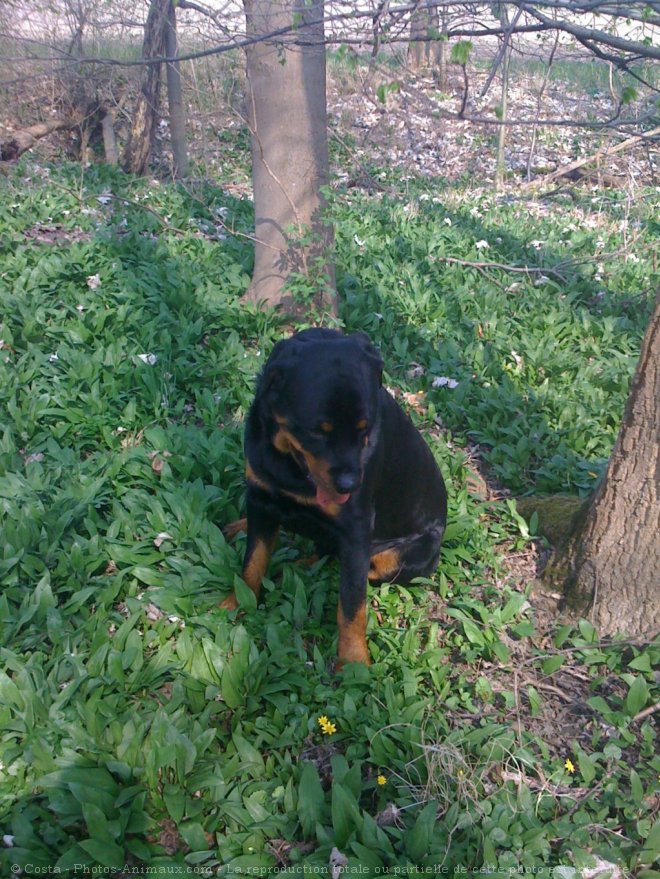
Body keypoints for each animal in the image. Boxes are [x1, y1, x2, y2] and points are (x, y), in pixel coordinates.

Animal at [223, 330, 448, 668]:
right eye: (317, 431)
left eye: (364, 428)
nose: (349, 485)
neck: (291, 467)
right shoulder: (260, 496)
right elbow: (253, 560)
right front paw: (237, 601)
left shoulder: (355, 531)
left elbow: (352, 605)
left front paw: (353, 661)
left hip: (406, 554)